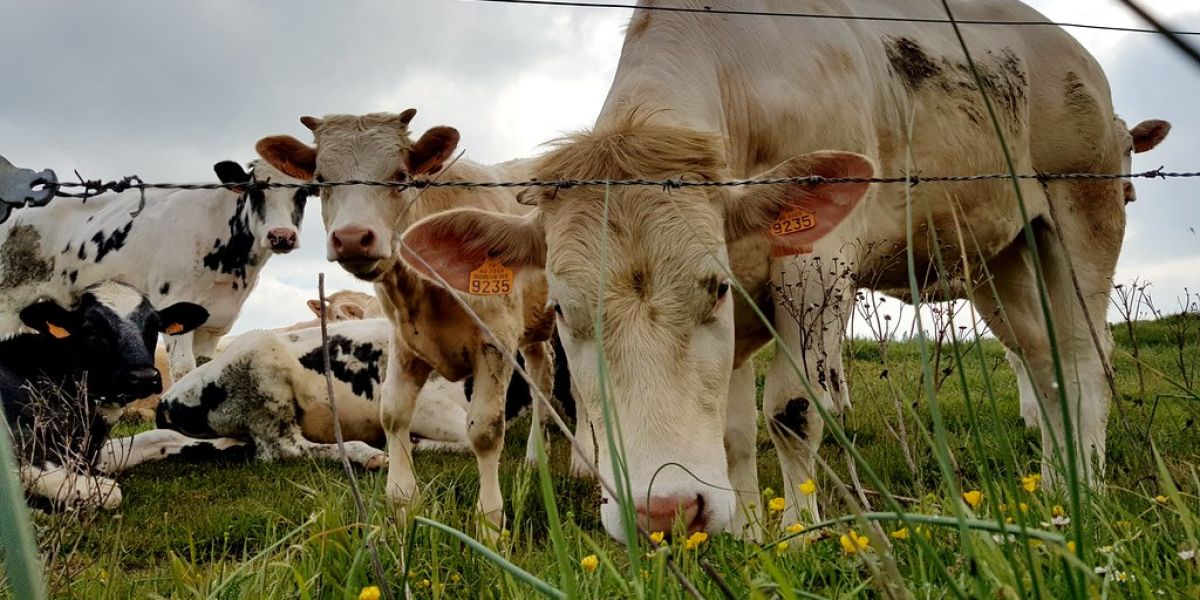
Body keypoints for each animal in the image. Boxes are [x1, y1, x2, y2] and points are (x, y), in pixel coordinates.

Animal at [0, 159, 308, 382]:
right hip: (8, 301)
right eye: (255, 190)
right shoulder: (174, 304)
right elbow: (184, 369)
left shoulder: (215, 325)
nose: (281, 236)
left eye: (303, 193)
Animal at [1, 281, 220, 509]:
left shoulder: (92, 450)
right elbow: (107, 491)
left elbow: (161, 435)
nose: (143, 376)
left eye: (154, 326)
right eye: (90, 328)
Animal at [255, 110, 574, 533]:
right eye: (320, 180)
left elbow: (485, 430)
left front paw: (489, 522)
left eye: (401, 175)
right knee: (541, 372)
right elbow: (392, 414)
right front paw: (403, 504)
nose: (353, 237)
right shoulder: (405, 342)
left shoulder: (495, 340)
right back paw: (536, 456)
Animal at [391, 0, 1144, 541]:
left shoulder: (817, 266)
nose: (664, 512)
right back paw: (1056, 485)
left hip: (1083, 209)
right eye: (562, 312)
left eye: (714, 288)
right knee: (1042, 360)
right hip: (998, 252)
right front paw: (749, 532)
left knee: (1086, 356)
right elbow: (732, 431)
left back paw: (1091, 485)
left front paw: (799, 533)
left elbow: (790, 410)